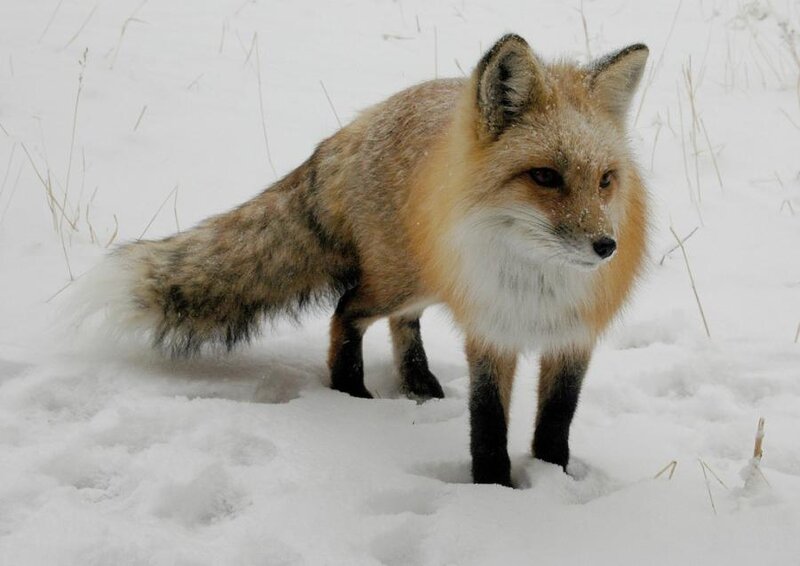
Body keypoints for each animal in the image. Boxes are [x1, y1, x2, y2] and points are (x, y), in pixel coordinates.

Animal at [82, 34, 650, 487]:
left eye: (605, 180)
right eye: (545, 177)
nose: (606, 246)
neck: (538, 283)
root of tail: (357, 125)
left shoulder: (574, 336)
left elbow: (557, 418)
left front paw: (555, 477)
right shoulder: (489, 328)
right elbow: (487, 421)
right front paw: (494, 489)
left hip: (423, 280)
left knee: (400, 323)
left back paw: (417, 382)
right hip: (403, 279)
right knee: (346, 311)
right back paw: (349, 389)